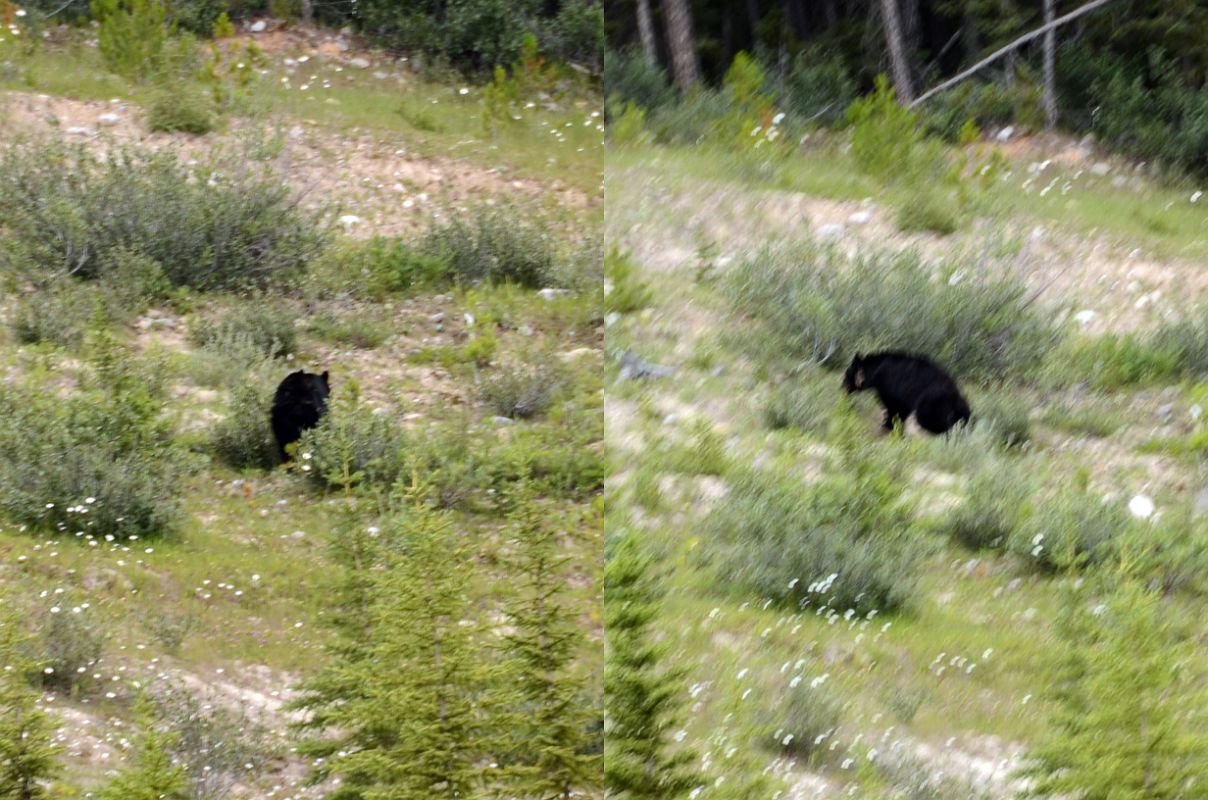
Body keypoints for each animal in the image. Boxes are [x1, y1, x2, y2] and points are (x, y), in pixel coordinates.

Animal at [842, 351, 971, 435]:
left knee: (932, 421)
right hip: (961, 408)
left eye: (847, 374)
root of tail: (957, 398)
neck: (876, 371)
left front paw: (887, 426)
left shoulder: (891, 386)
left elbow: (894, 407)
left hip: (932, 404)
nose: (842, 387)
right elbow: (900, 411)